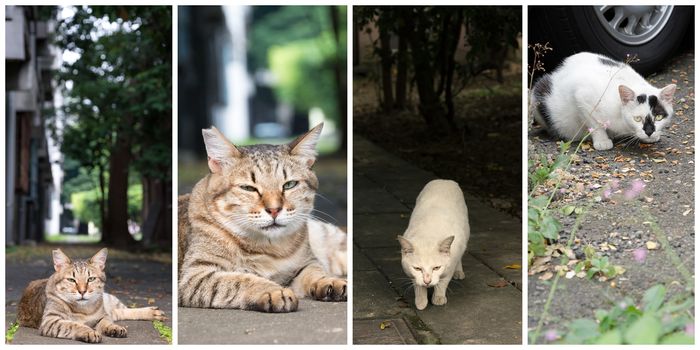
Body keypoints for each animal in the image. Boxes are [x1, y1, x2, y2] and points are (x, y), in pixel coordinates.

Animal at [17, 249, 165, 342]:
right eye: (72, 280)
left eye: (91, 279)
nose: (82, 291)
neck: (84, 310)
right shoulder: (50, 321)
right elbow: (73, 325)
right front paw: (89, 331)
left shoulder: (102, 315)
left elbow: (106, 322)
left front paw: (113, 328)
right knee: (118, 313)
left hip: (109, 299)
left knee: (124, 310)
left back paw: (152, 312)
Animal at [178, 123, 348, 312]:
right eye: (248, 188)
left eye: (289, 185)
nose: (274, 210)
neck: (268, 248)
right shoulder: (194, 276)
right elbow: (238, 280)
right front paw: (272, 290)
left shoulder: (305, 263)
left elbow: (316, 271)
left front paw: (330, 280)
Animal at [396, 179, 468, 310]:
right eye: (417, 268)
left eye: (436, 268)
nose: (427, 281)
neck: (428, 233)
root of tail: (444, 180)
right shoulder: (413, 274)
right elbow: (418, 285)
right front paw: (420, 302)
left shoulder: (451, 262)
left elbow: (443, 281)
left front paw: (438, 298)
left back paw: (459, 272)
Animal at [532, 52, 676, 150]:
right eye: (637, 119)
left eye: (658, 117)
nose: (649, 132)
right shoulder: (582, 95)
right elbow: (594, 123)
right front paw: (602, 141)